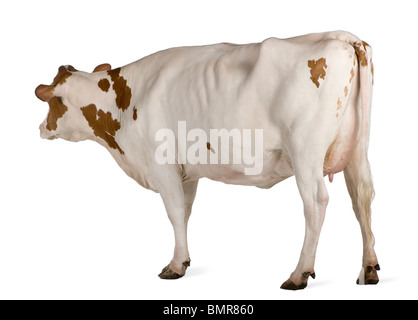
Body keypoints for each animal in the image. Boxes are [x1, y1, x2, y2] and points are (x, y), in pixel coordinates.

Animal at [35, 30, 378, 290]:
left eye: (52, 102)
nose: (40, 128)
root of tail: (342, 37)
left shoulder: (162, 166)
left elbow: (174, 213)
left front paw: (175, 265)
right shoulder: (187, 172)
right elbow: (185, 213)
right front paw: (185, 260)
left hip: (305, 151)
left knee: (316, 204)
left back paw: (298, 275)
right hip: (358, 149)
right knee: (361, 198)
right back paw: (369, 268)